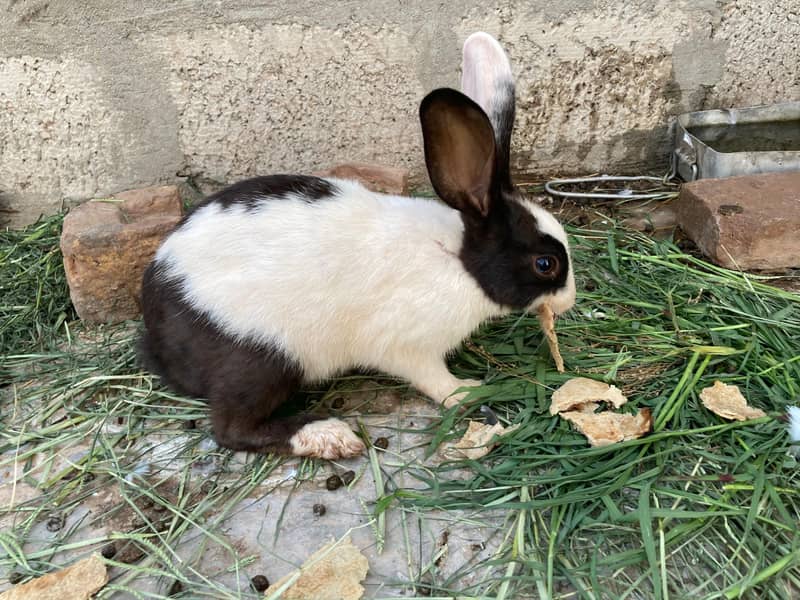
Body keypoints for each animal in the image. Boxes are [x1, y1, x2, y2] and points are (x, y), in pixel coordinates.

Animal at [139, 32, 576, 460]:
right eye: (545, 264)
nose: (568, 301)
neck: (457, 260)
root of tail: (158, 330)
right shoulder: (408, 347)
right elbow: (433, 379)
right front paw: (469, 392)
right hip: (264, 358)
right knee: (231, 427)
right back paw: (328, 436)